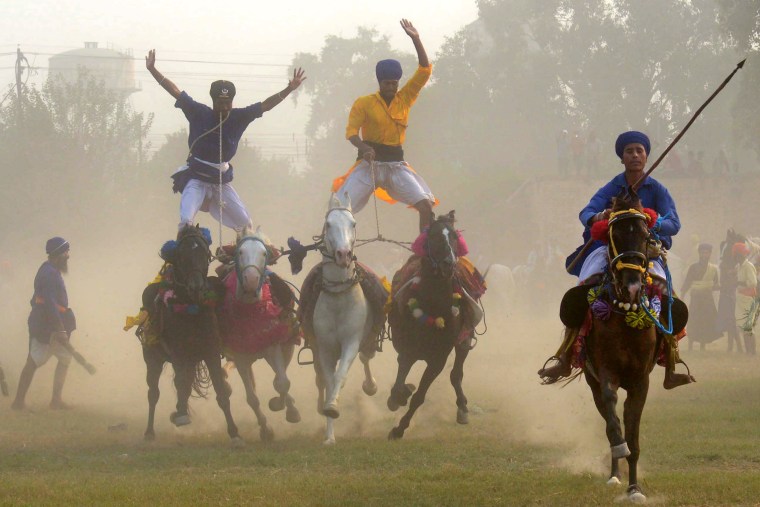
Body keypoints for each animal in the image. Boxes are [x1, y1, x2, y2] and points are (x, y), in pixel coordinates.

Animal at [140, 226, 239, 444]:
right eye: (182, 255)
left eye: (203, 253)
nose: (196, 287)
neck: (191, 310)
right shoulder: (178, 353)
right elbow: (181, 384)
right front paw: (180, 415)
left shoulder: (210, 352)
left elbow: (220, 389)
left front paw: (235, 433)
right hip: (152, 357)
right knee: (153, 392)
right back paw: (149, 432)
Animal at [218, 226, 302, 440]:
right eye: (240, 252)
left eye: (264, 253)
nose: (251, 280)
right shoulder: (240, 355)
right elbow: (252, 398)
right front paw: (266, 429)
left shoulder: (273, 344)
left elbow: (282, 383)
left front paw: (289, 410)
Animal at [312, 194, 378, 444]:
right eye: (328, 224)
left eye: (354, 223)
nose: (343, 255)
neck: (339, 298)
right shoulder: (324, 347)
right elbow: (330, 381)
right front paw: (329, 433)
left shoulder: (351, 340)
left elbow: (340, 375)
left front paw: (332, 407)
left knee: (365, 358)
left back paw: (370, 386)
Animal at [388, 211, 472, 440]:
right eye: (433, 236)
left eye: (454, 236)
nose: (448, 263)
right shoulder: (407, 348)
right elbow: (400, 379)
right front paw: (399, 396)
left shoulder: (438, 357)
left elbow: (420, 395)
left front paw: (399, 428)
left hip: (464, 339)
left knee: (457, 373)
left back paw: (462, 407)